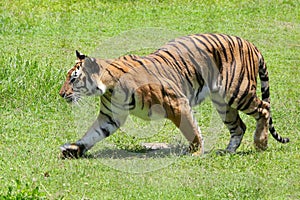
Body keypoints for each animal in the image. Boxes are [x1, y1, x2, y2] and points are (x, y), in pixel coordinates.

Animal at [58, 33, 288, 159]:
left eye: (73, 79)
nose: (61, 94)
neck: (109, 86)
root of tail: (251, 44)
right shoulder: (110, 116)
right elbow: (92, 134)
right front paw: (73, 149)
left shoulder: (177, 103)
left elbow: (192, 130)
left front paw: (195, 152)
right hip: (223, 102)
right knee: (239, 126)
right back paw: (228, 151)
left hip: (237, 92)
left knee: (264, 109)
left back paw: (261, 143)